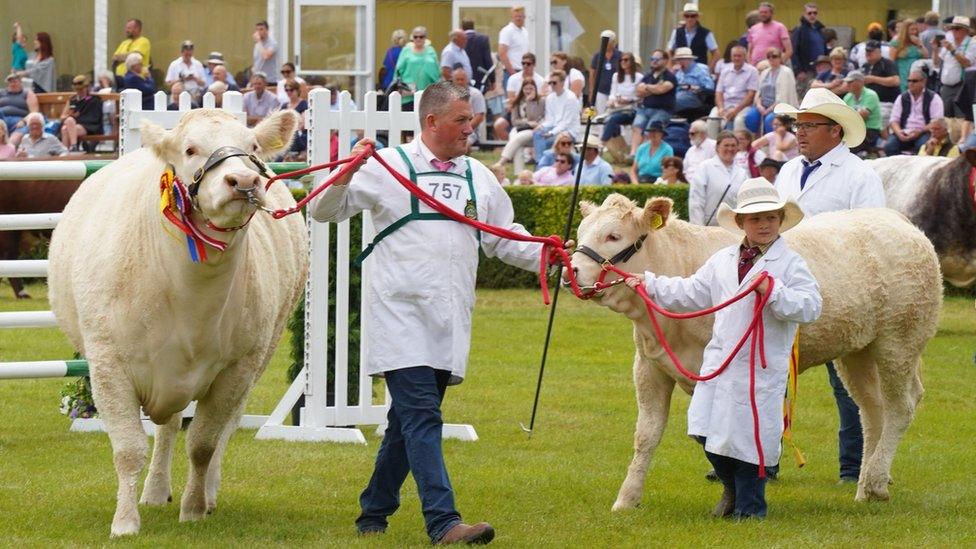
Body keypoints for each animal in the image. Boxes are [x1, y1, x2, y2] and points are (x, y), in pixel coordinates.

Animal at [47, 108, 306, 536]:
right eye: (189, 149)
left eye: (252, 146)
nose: (244, 181)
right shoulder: (107, 365)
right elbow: (129, 449)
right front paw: (125, 522)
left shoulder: (238, 367)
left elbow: (203, 444)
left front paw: (194, 508)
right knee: (167, 427)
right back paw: (154, 491)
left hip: (259, 357)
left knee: (221, 430)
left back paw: (208, 493)